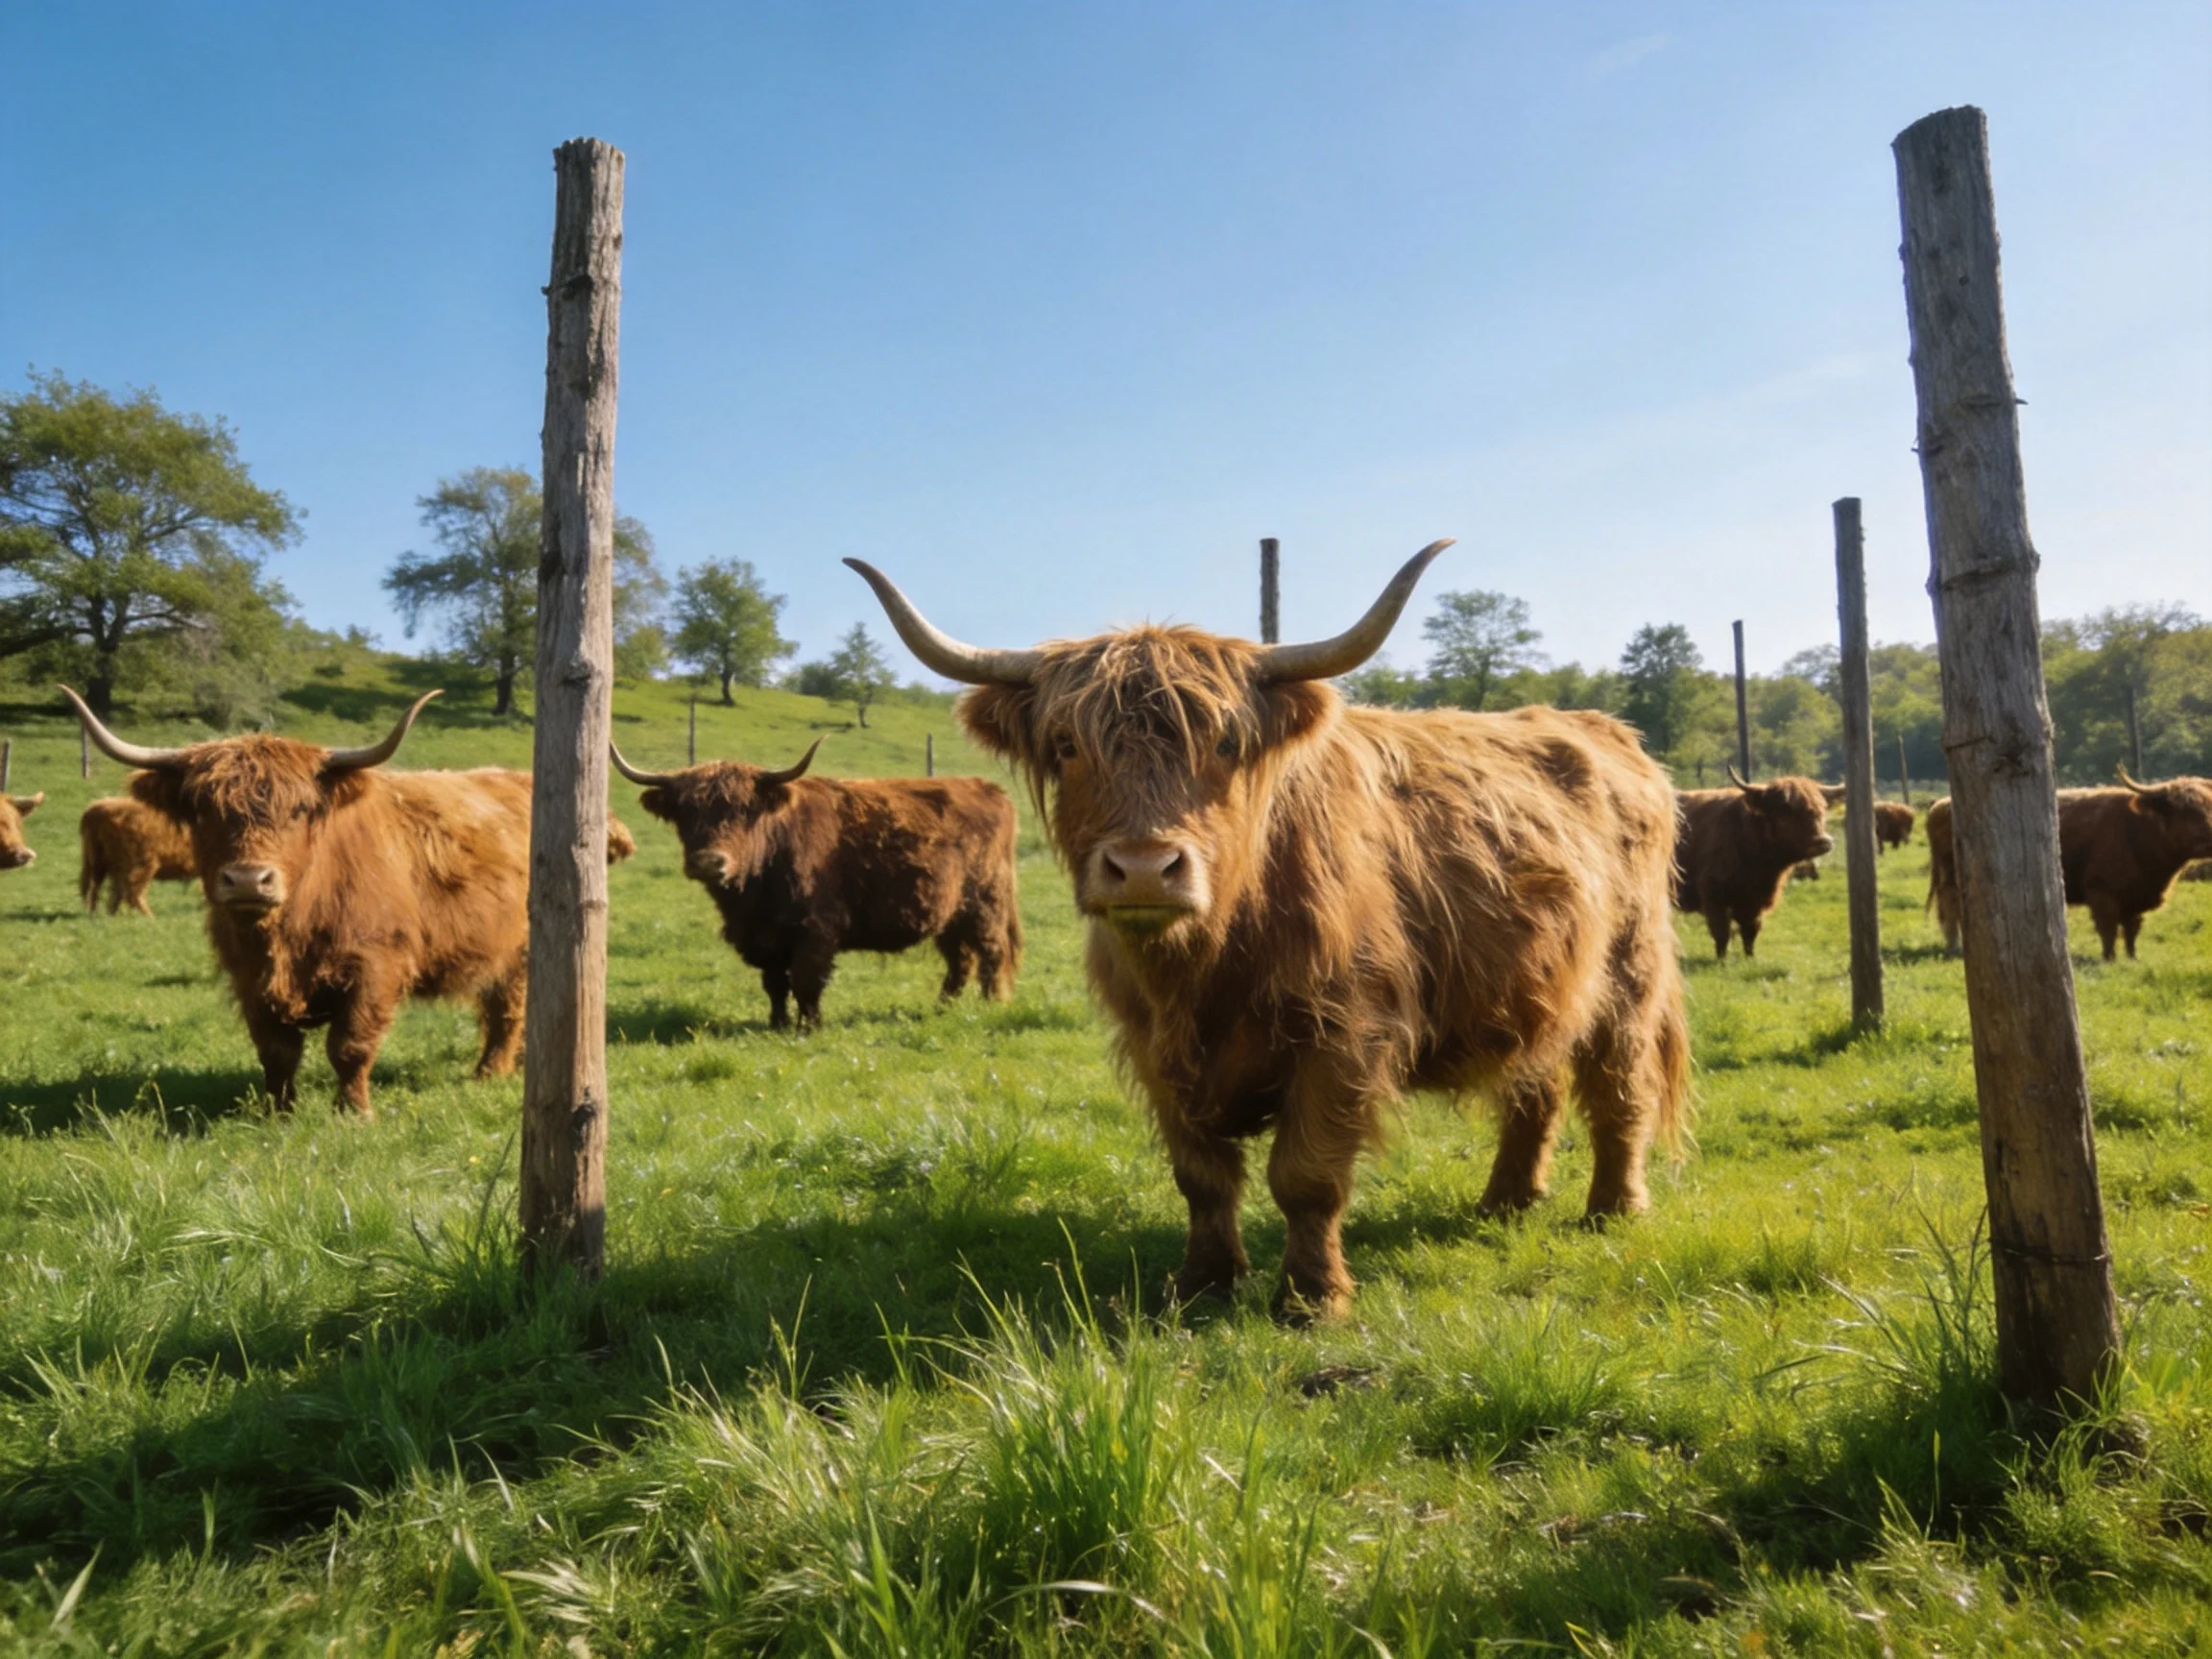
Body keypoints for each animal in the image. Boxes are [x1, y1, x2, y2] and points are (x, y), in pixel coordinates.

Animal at [62, 687, 635, 1117]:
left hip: (522, 952)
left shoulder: (375, 965)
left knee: (508, 1012)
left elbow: (350, 1045)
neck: (287, 934)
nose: (248, 881)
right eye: (203, 809)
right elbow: (276, 1052)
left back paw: (489, 1073)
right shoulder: (247, 976)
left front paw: (354, 1113)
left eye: (299, 809)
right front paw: (280, 1114)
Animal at [610, 740, 1021, 1030]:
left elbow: (807, 979)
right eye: (684, 811)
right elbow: (775, 983)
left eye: (745, 810)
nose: (710, 861)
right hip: (949, 914)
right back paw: (942, 1007)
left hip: (986, 905)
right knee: (960, 959)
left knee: (991, 953)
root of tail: (988, 788)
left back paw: (991, 1005)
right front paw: (776, 1024)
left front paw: (810, 1027)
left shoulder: (817, 929)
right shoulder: (763, 937)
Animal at [846, 541, 1689, 1322]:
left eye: (1224, 744)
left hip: (1630, 976)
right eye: (1067, 745)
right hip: (1539, 982)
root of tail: (1608, 731)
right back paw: (1506, 1201)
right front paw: (1203, 1283)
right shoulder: (1152, 1046)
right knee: (1534, 1084)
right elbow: (1202, 1177)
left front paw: (1312, 1298)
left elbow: (1305, 1176)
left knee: (1620, 1090)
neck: (1207, 966)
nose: (1145, 868)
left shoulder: (1344, 1033)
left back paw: (1613, 1209)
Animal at [1672, 771, 1842, 960]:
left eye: (1822, 808)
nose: (1823, 842)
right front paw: (1722, 960)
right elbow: (1722, 933)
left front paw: (1750, 958)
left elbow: (1750, 932)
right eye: (1785, 811)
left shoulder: (1757, 901)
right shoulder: (1714, 897)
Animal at [1925, 773, 2212, 960]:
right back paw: (1954, 947)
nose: (2210, 834)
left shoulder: (2135, 896)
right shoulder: (2102, 892)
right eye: (2184, 810)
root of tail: (1940, 805)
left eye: (2208, 806)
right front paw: (2109, 958)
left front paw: (2132, 957)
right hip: (1951, 880)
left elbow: (2131, 930)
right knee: (1951, 910)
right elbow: (2108, 929)